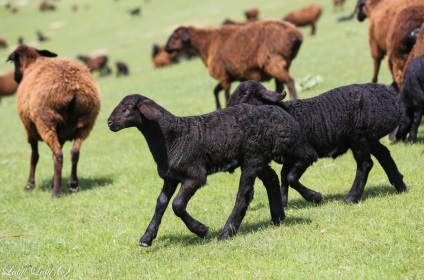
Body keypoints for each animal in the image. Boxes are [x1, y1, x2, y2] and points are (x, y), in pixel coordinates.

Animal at [6, 44, 101, 197]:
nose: (15, 78)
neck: (31, 64)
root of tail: (73, 88)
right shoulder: (61, 135)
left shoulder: (29, 130)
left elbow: (34, 157)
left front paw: (29, 185)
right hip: (85, 124)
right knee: (74, 153)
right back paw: (72, 184)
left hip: (46, 123)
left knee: (58, 155)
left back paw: (56, 192)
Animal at [107, 94, 316, 247]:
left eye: (127, 108)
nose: (109, 123)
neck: (172, 137)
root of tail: (279, 112)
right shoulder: (170, 178)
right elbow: (161, 203)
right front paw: (146, 238)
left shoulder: (195, 176)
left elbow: (177, 205)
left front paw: (201, 230)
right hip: (256, 156)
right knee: (271, 179)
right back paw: (278, 217)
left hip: (254, 155)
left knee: (245, 194)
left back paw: (226, 232)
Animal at [164, 19, 304, 109]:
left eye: (174, 37)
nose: (166, 49)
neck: (206, 44)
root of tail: (296, 34)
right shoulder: (228, 77)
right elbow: (215, 91)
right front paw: (218, 106)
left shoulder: (223, 77)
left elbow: (225, 94)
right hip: (282, 64)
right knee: (280, 86)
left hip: (272, 63)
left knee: (290, 82)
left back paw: (293, 99)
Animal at [227, 80, 410, 205]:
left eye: (245, 94)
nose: (227, 112)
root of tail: (389, 95)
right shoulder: (290, 159)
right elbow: (284, 177)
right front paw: (283, 202)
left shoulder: (307, 155)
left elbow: (291, 178)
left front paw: (315, 197)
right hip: (368, 138)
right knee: (384, 154)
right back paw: (401, 186)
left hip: (359, 138)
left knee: (365, 164)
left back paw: (351, 197)